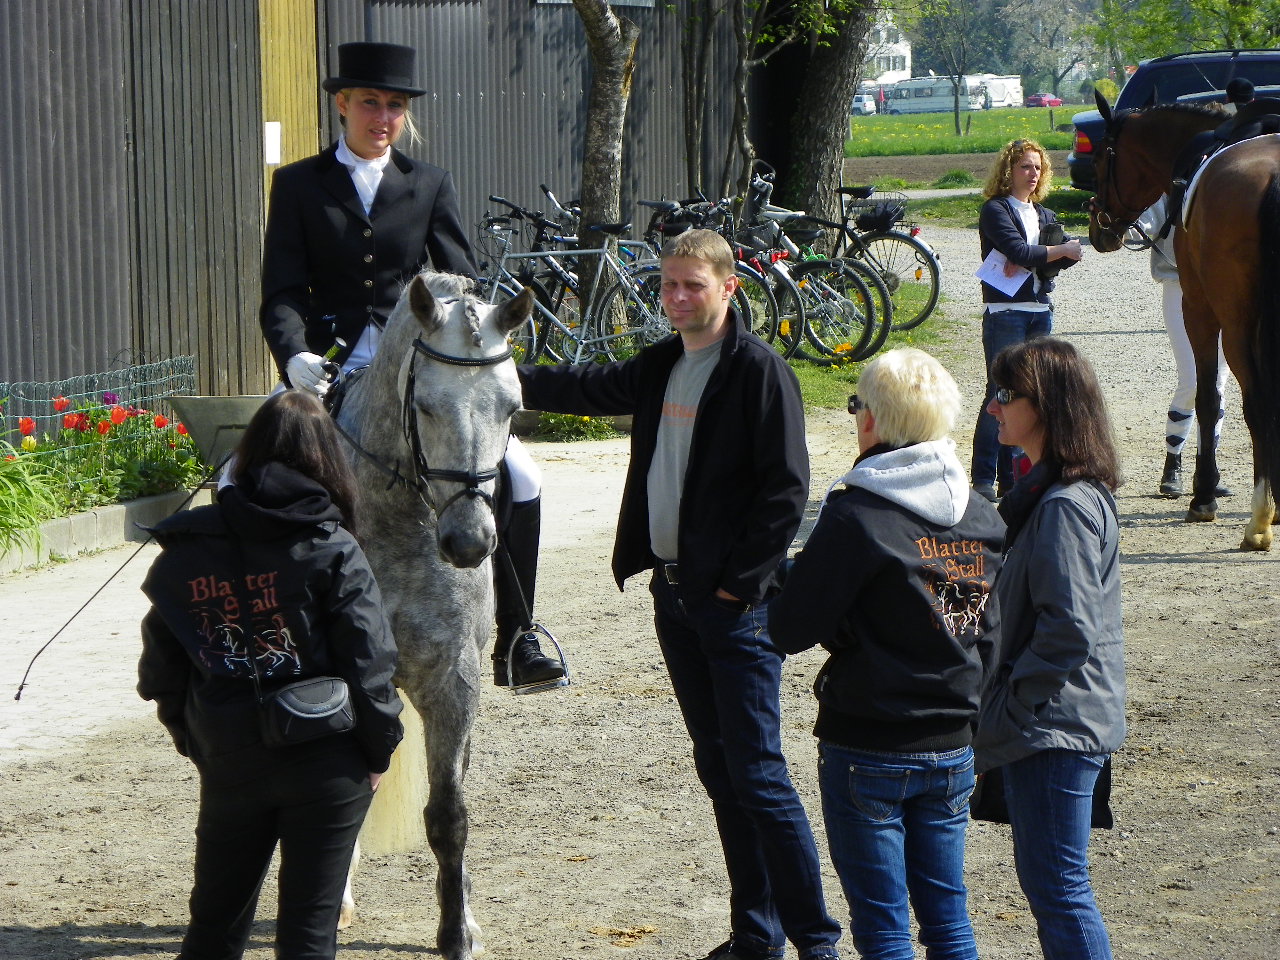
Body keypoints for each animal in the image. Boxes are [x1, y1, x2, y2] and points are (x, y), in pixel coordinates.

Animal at [334, 271, 533, 959]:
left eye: (511, 408)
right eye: (423, 406)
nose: (469, 543)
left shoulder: (454, 680)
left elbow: (449, 813)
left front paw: (457, 930)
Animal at [1087, 92, 1280, 550]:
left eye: (1101, 162)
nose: (1098, 229)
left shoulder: (1200, 310)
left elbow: (1208, 399)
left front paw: (1204, 496)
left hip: (1237, 324)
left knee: (1256, 403)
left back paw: (1258, 521)